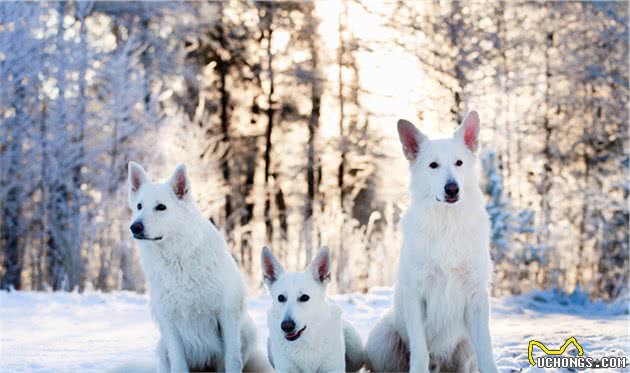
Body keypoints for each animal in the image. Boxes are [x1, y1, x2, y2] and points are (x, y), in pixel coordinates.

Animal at [128, 163, 270, 372]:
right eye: (139, 206)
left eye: (161, 207)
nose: (135, 227)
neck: (178, 258)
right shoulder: (169, 321)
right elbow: (179, 364)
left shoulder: (226, 314)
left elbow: (232, 359)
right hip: (162, 347)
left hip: (247, 331)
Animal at [368, 112, 502, 370]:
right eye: (433, 165)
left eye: (459, 163)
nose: (452, 189)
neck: (446, 226)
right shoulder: (416, 295)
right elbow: (420, 351)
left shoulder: (477, 297)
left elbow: (487, 351)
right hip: (383, 338)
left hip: (465, 346)